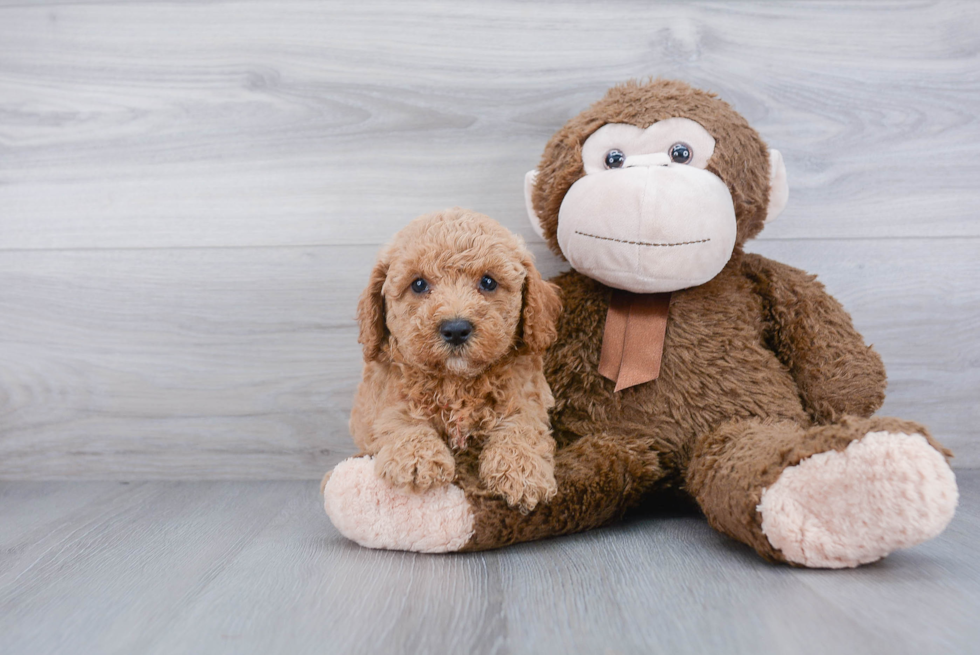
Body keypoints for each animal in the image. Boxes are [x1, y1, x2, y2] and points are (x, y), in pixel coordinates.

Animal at [350, 208, 568, 510]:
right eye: (418, 284)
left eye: (488, 282)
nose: (455, 329)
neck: (456, 381)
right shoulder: (383, 395)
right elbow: (398, 417)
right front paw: (418, 459)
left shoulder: (526, 395)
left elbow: (522, 427)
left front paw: (523, 471)